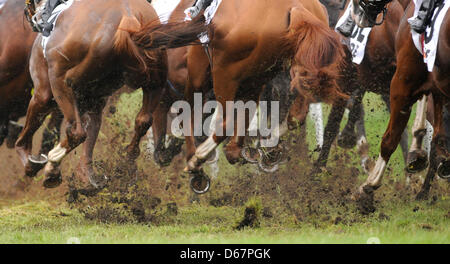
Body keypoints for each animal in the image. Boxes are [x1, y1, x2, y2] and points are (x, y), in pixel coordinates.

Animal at [15, 0, 168, 190]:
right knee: (143, 120)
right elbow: (92, 127)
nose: (32, 17)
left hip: (62, 82)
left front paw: (30, 161)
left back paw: (52, 164)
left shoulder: (45, 90)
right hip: (155, 84)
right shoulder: (94, 100)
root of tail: (128, 17)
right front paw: (85, 175)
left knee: (77, 131)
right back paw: (125, 162)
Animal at [354, 0, 448, 211]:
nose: (355, 13)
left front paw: (368, 186)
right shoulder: (437, 86)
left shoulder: (402, 83)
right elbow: (439, 137)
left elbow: (390, 139)